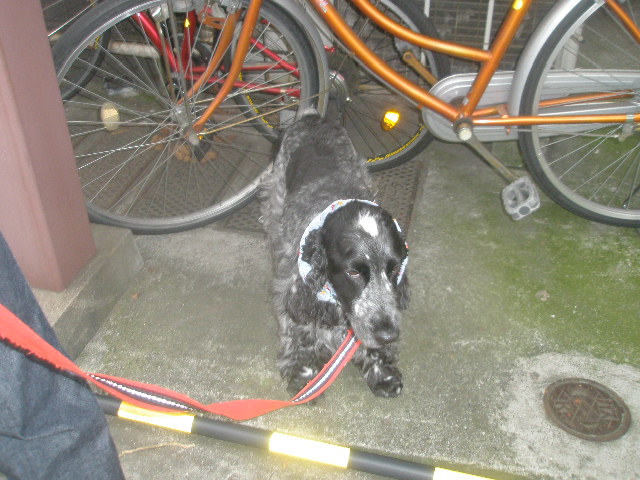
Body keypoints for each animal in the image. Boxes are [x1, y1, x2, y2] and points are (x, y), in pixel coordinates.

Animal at [260, 110, 409, 398]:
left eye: (395, 269)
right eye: (353, 272)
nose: (389, 336)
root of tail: (313, 117)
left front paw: (381, 373)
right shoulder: (296, 284)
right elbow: (300, 328)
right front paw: (304, 374)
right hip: (276, 193)